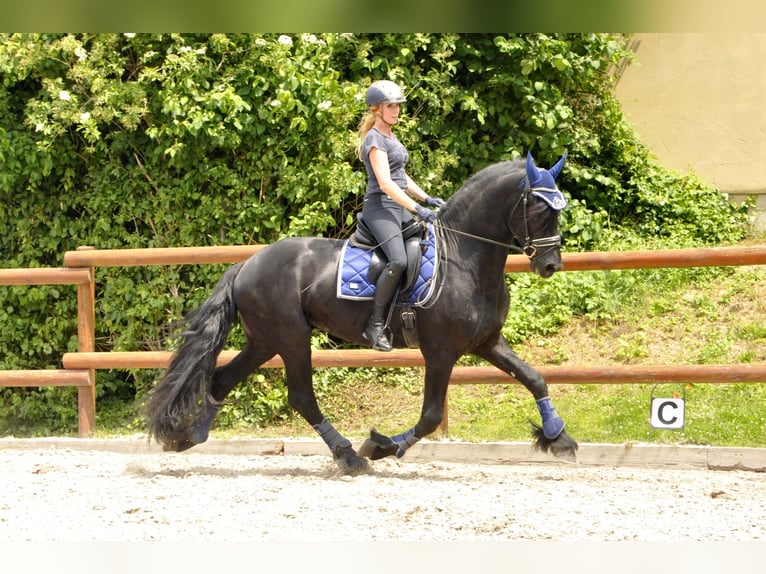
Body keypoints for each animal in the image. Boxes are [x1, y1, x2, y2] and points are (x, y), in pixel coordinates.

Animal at [147, 152, 579, 473]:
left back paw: (188, 438)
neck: (464, 257)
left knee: (221, 379)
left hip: (264, 340)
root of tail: (248, 263)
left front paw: (559, 437)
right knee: (301, 397)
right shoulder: (440, 352)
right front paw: (382, 445)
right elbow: (430, 416)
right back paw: (350, 456)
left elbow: (534, 378)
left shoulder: (487, 342)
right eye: (539, 209)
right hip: (291, 337)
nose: (551, 266)